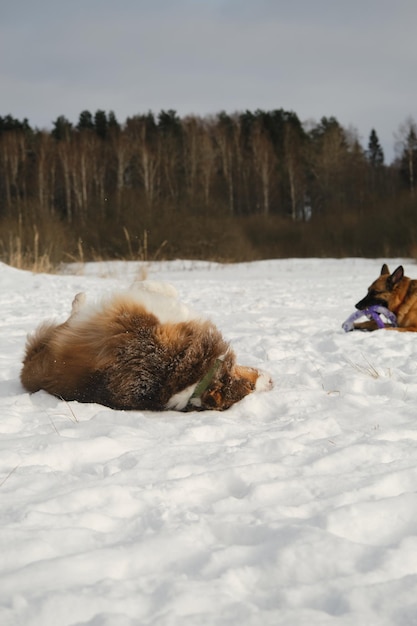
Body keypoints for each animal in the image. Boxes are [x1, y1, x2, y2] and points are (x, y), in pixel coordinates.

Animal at [20, 280, 272, 410]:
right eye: (250, 386)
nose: (272, 383)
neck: (194, 381)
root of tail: (27, 371)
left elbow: (158, 290)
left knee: (73, 316)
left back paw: (79, 298)